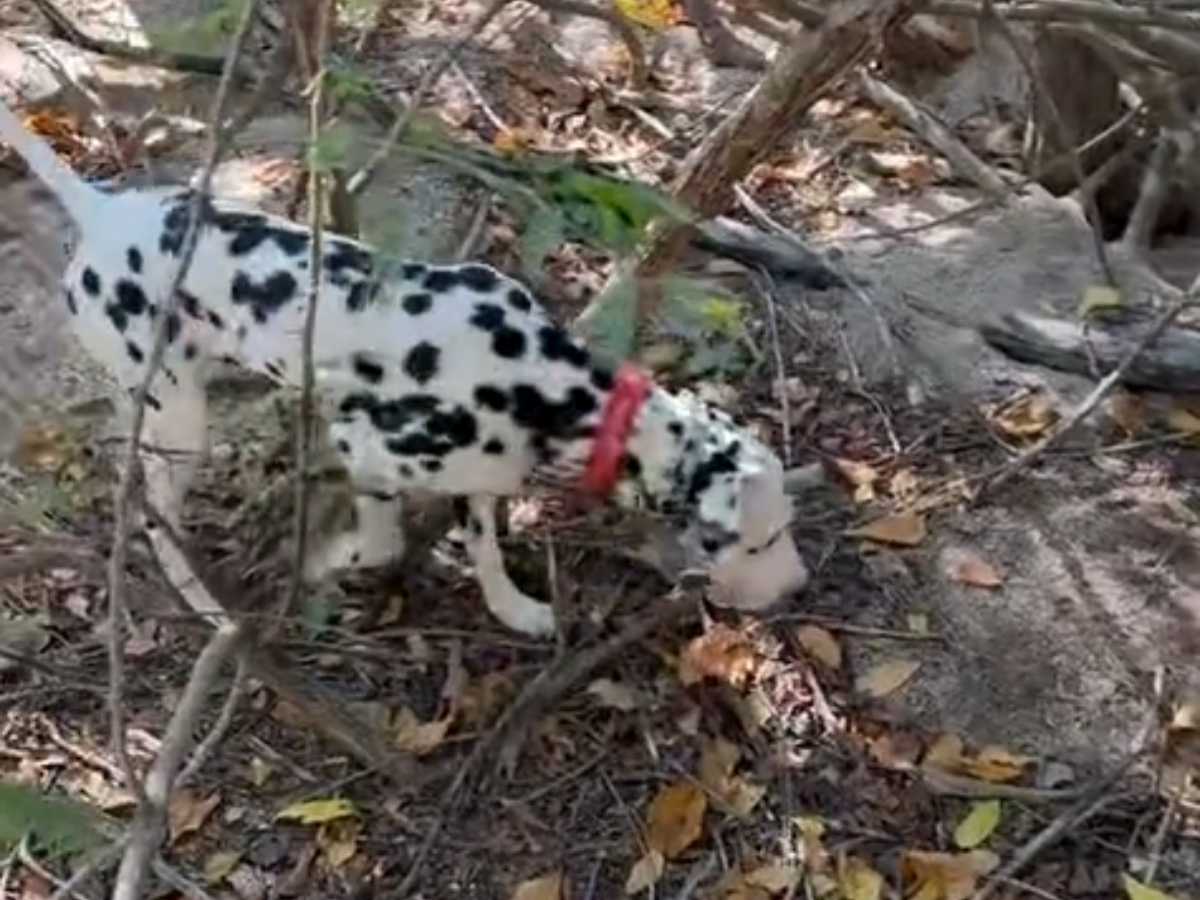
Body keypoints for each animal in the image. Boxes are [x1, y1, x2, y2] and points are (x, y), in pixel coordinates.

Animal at [2, 100, 806, 633]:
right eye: (761, 540)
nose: (798, 584)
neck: (540, 380)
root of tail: (103, 211)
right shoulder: (367, 447)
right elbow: (383, 538)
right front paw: (336, 561)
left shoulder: (482, 479)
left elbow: (484, 549)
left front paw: (514, 609)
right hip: (176, 415)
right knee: (148, 508)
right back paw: (196, 594)